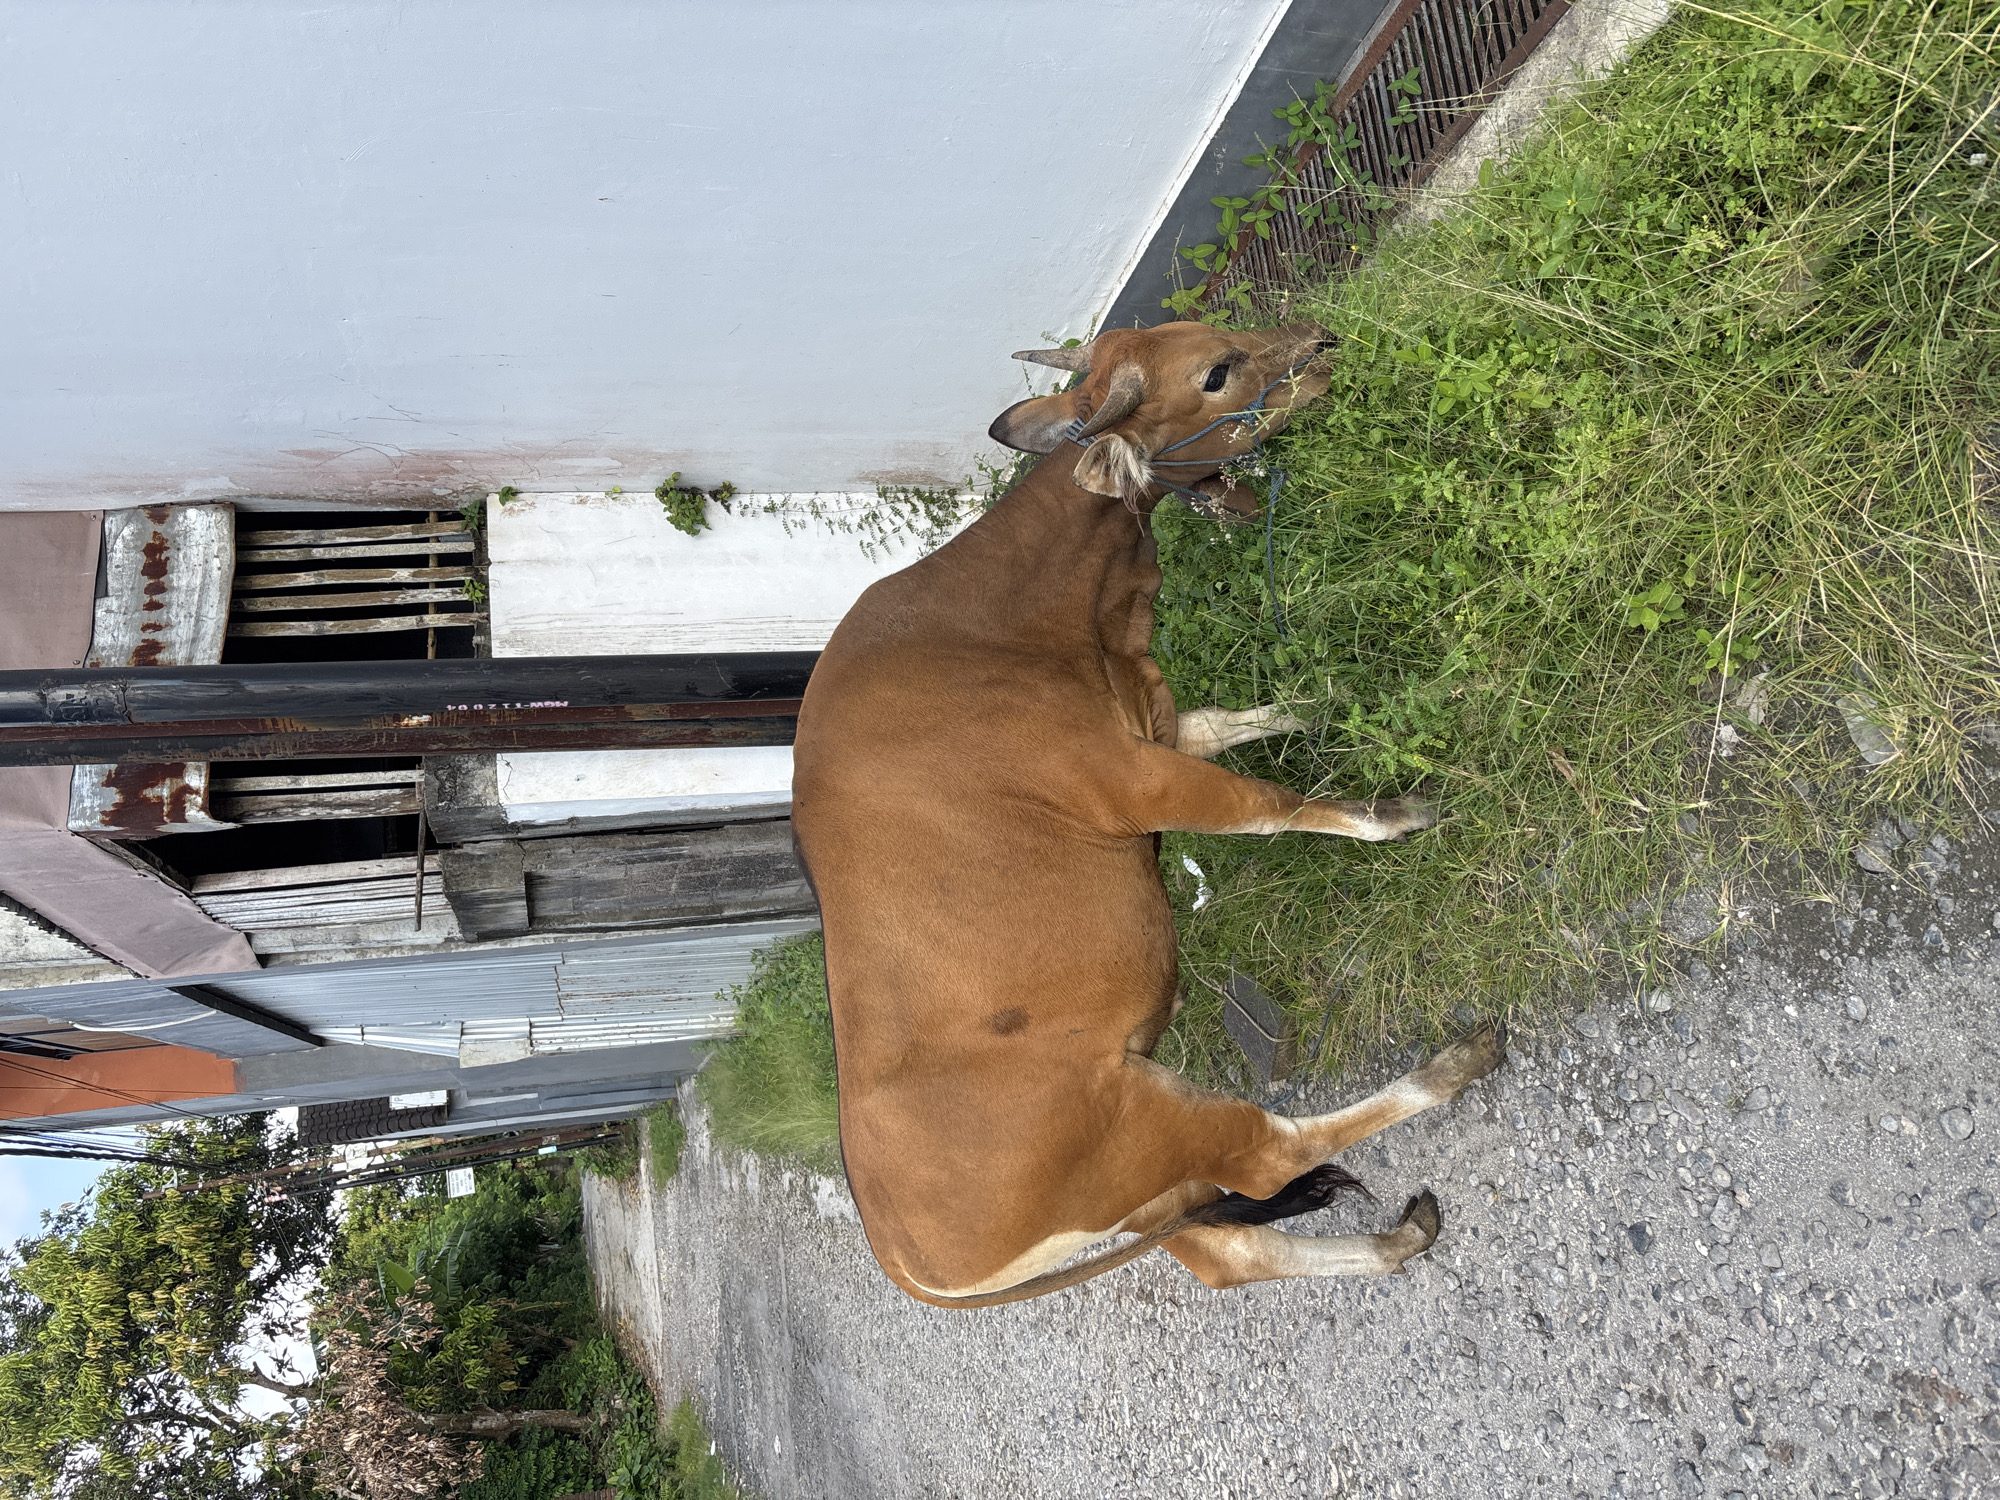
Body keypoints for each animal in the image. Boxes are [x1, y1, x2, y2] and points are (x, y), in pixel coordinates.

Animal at [790, 320, 1505, 1309]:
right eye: (1215, 373)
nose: (1322, 342)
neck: (1017, 617)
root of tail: (906, 1260)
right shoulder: (1136, 781)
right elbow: (1268, 804)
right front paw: (1389, 814)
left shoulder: (1158, 723)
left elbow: (1243, 718)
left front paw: (1327, 698)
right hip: (1146, 1121)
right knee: (1272, 1155)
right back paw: (1451, 1068)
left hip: (1139, 1186)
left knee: (1231, 1251)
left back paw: (1399, 1238)